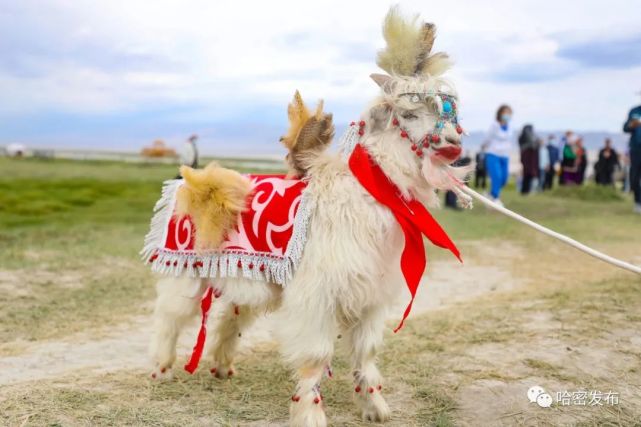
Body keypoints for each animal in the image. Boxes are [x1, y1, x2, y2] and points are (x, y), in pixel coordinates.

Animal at [142, 7, 468, 427]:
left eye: (451, 111)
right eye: (409, 113)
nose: (454, 146)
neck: (361, 192)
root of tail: (184, 184)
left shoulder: (370, 295)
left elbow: (366, 351)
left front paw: (375, 407)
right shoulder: (319, 296)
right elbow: (316, 357)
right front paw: (310, 414)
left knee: (231, 314)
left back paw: (221, 366)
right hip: (185, 270)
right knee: (170, 315)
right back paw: (161, 369)